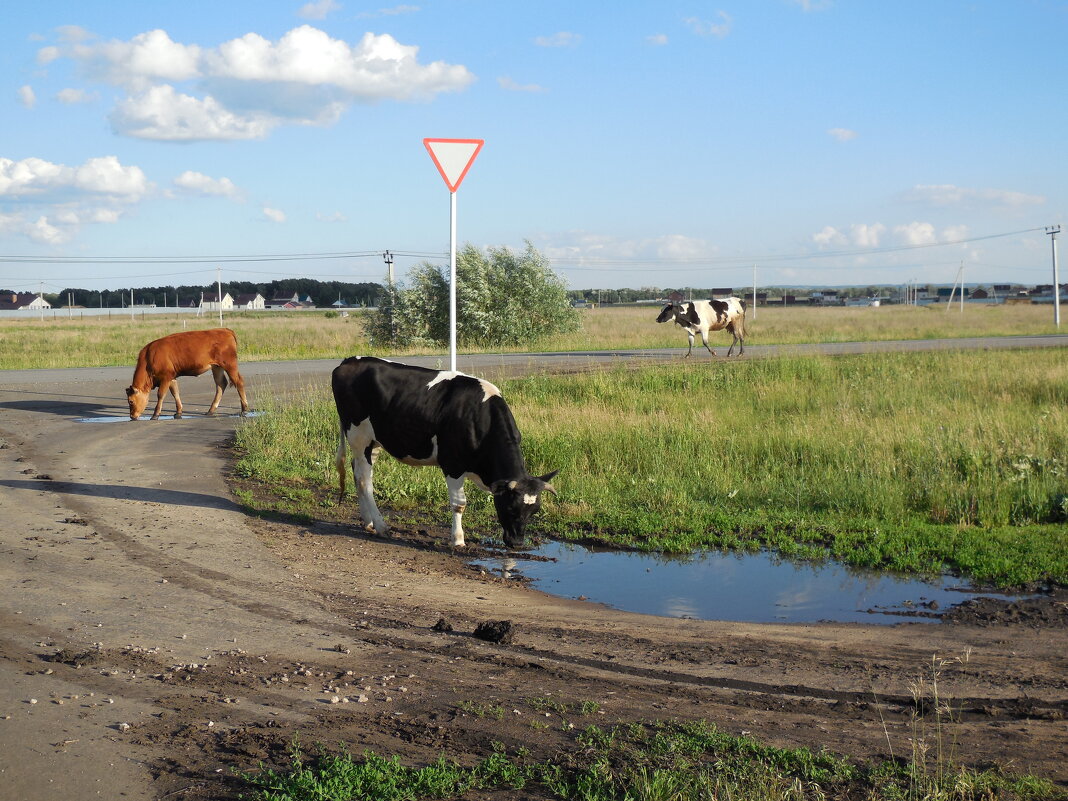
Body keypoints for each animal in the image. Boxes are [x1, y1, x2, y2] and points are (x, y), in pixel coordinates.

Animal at [331, 358, 559, 551]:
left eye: (534, 511)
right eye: (511, 507)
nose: (517, 543)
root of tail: (348, 361)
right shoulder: (453, 465)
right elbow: (459, 504)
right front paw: (458, 540)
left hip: (374, 441)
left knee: (357, 472)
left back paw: (368, 521)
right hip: (358, 436)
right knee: (365, 481)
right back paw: (381, 526)